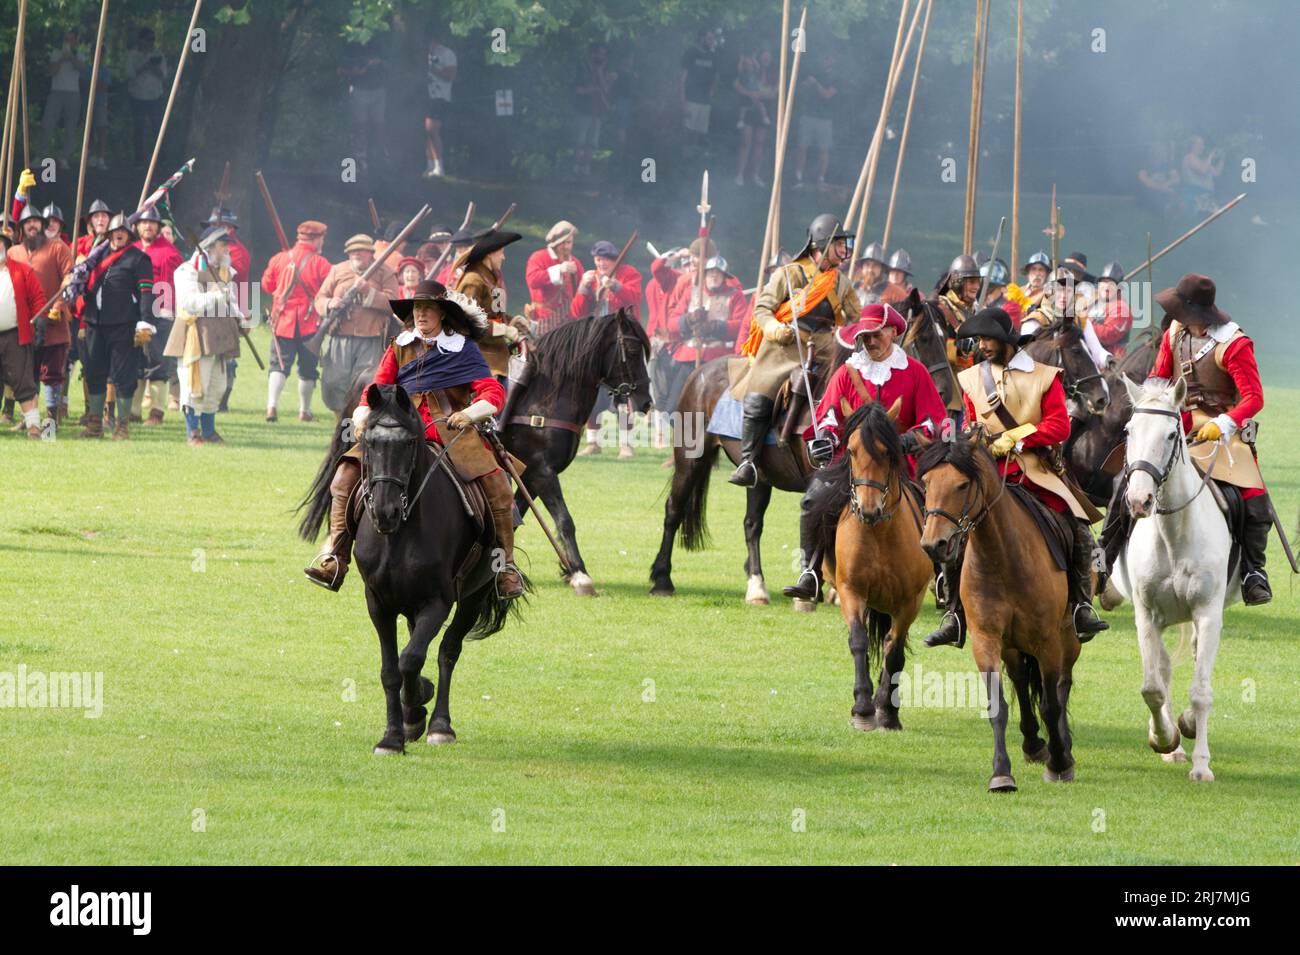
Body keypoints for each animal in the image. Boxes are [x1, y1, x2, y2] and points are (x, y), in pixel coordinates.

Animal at [301, 382, 525, 753]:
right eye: (370, 442)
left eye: (407, 443)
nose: (385, 511)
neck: (401, 533)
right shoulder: (379, 603)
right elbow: (392, 668)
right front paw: (394, 733)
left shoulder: (438, 601)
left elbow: (412, 658)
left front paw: (417, 714)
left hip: (473, 595)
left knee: (447, 650)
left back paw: (439, 723)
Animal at [501, 310, 655, 597]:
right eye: (631, 350)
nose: (646, 401)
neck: (544, 398)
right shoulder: (542, 473)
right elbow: (564, 520)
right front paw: (580, 574)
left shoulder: (529, 476)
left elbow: (514, 520)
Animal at [800, 402, 935, 732]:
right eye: (850, 450)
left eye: (888, 451)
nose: (869, 508)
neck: (879, 532)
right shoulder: (851, 591)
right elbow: (859, 641)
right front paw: (862, 708)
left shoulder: (909, 602)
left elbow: (894, 651)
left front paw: (886, 711)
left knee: (889, 643)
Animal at [920, 433, 1081, 789]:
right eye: (926, 482)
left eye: (962, 485)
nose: (933, 545)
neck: (1003, 556)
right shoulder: (986, 639)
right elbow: (999, 705)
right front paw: (1001, 773)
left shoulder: (1048, 641)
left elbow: (1051, 704)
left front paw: (1059, 762)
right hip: (1011, 645)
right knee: (1021, 681)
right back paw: (1033, 743)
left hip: (1069, 637)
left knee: (1062, 685)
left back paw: (1062, 744)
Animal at [1107, 374, 1237, 784]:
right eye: (1129, 430)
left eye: (1170, 434)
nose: (1139, 500)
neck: (1174, 534)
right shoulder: (1146, 616)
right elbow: (1152, 687)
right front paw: (1164, 738)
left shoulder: (1209, 614)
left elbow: (1201, 690)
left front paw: (1201, 764)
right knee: (1162, 670)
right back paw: (1172, 742)